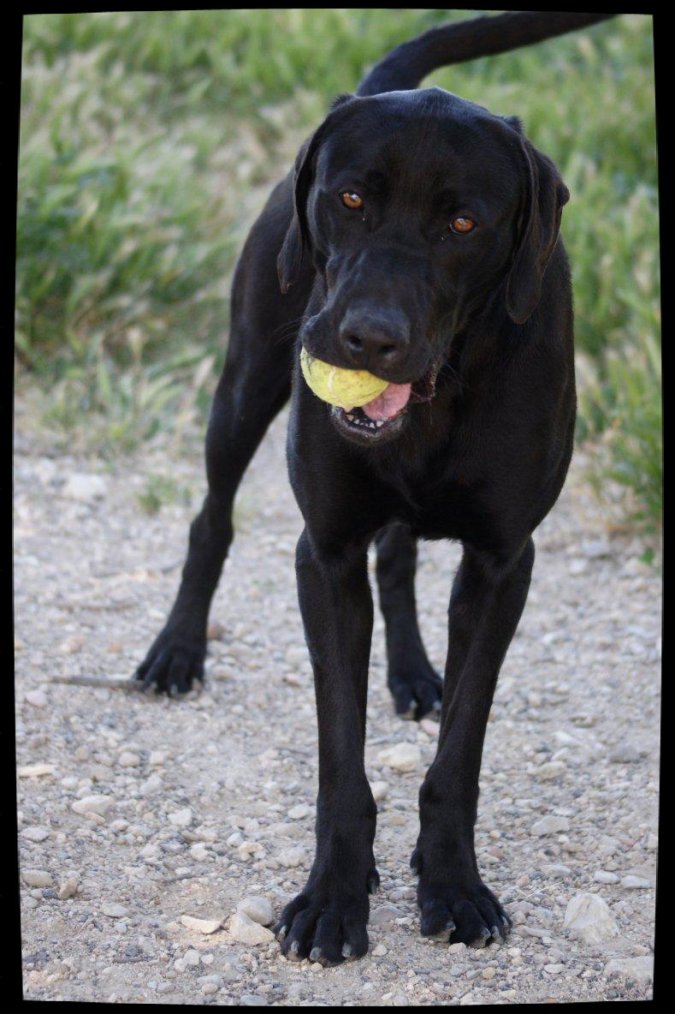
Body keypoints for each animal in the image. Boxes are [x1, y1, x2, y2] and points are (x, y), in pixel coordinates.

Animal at [133, 11, 612, 965]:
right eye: (350, 199)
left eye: (463, 221)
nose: (367, 338)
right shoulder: (325, 556)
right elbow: (339, 760)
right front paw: (332, 898)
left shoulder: (502, 564)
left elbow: (459, 754)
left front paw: (454, 884)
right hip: (243, 387)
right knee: (211, 521)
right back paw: (176, 651)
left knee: (399, 555)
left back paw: (414, 673)